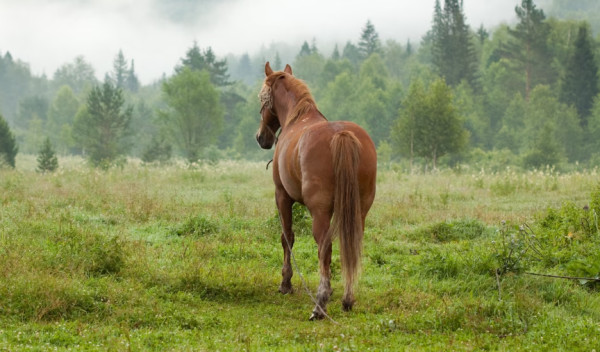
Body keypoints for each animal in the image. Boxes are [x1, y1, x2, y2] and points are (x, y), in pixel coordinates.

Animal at [255, 62, 378, 320]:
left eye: (262, 98)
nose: (261, 138)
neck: (297, 118)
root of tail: (342, 135)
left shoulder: (282, 197)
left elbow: (287, 237)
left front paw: (286, 283)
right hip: (359, 210)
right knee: (351, 247)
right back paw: (347, 298)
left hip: (319, 212)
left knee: (325, 247)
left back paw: (320, 303)